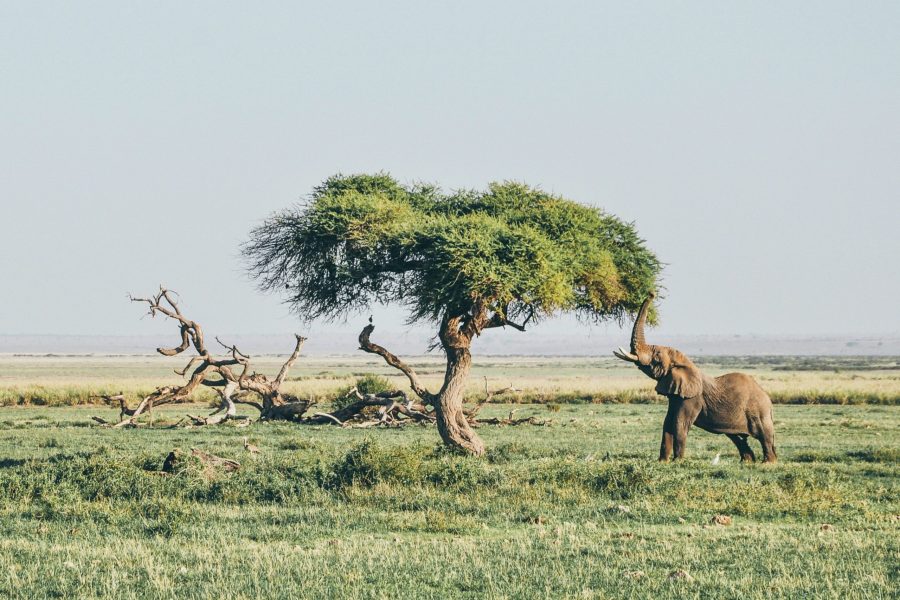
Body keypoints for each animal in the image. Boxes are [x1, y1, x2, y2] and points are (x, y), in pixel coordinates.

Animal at [616, 292, 776, 462]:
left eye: (657, 356)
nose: (651, 293)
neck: (685, 363)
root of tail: (767, 398)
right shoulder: (676, 394)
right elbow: (667, 422)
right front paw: (663, 462)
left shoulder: (692, 398)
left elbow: (679, 424)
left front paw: (678, 461)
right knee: (736, 437)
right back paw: (747, 462)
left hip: (759, 411)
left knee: (764, 435)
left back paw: (767, 463)